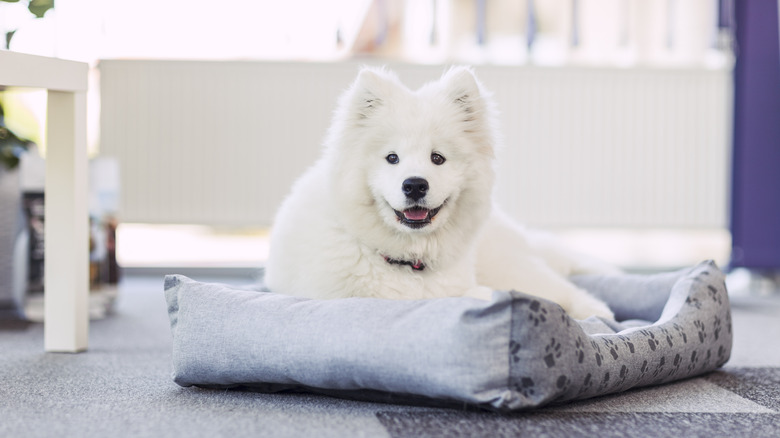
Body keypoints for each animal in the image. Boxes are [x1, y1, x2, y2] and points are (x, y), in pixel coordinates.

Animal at [266, 66, 620, 318]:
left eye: (438, 158)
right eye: (392, 158)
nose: (414, 185)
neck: (408, 263)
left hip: (509, 267)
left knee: (559, 291)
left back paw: (596, 313)